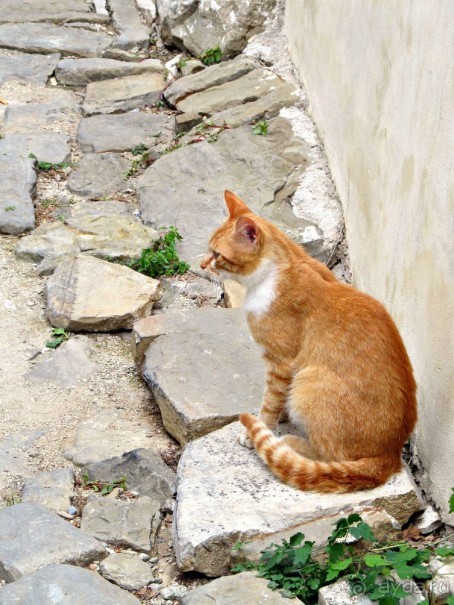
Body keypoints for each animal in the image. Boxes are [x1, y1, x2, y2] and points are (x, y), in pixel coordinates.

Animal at [200, 191, 416, 494]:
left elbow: (270, 401)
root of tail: (390, 455)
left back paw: (291, 442)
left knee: (331, 456)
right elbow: (278, 400)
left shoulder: (281, 362)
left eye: (217, 255)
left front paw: (259, 428)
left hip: (310, 381)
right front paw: (280, 418)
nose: (202, 265)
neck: (276, 272)